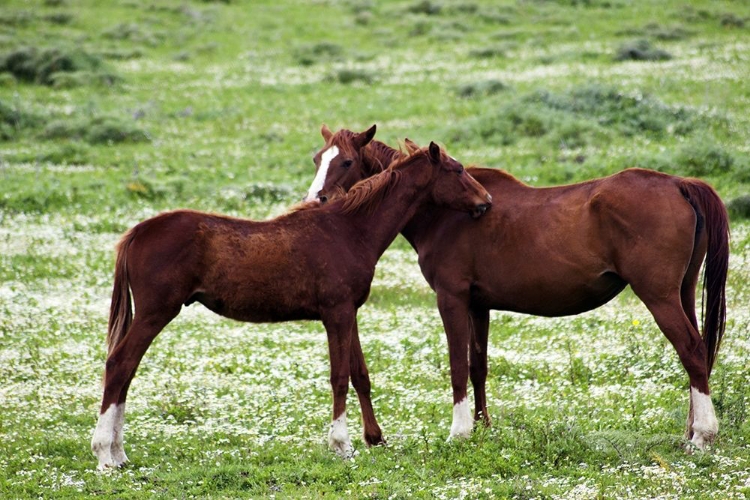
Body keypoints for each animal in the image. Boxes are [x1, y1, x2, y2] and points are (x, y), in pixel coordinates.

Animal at [91, 140, 494, 468]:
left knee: (126, 371)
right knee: (119, 365)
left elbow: (358, 374)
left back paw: (120, 453)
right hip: (156, 312)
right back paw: (105, 454)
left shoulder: (347, 313)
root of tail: (137, 232)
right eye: (458, 169)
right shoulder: (337, 314)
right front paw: (342, 445)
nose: (486, 202)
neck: (349, 231)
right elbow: (339, 377)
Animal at [308, 125, 732, 450]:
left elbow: (457, 367)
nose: (314, 200)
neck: (447, 212)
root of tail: (679, 184)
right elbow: (477, 366)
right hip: (683, 293)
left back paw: (702, 436)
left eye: (346, 162)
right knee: (699, 352)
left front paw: (459, 432)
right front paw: (482, 428)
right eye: (317, 159)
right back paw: (691, 431)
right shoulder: (478, 306)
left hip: (659, 297)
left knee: (692, 351)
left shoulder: (451, 299)